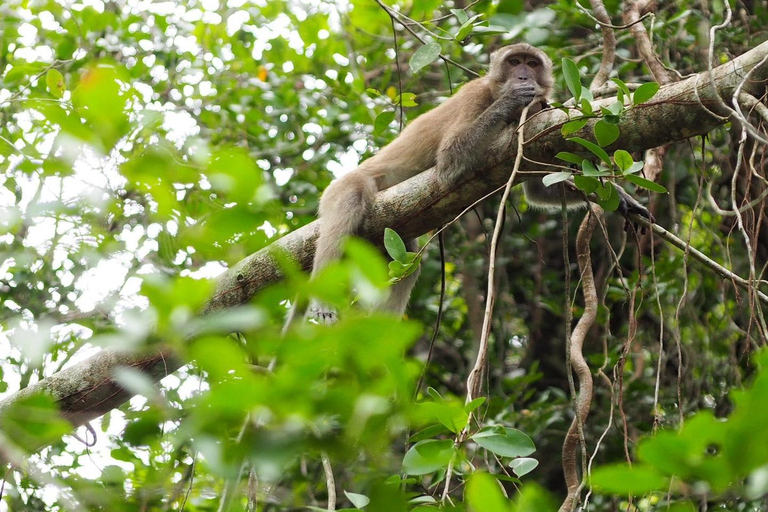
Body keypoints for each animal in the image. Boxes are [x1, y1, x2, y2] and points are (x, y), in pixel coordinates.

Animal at [300, 44, 648, 324]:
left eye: (532, 63)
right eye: (514, 62)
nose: (524, 76)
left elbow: (539, 188)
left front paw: (620, 198)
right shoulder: (476, 96)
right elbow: (450, 160)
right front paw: (509, 100)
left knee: (406, 260)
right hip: (342, 188)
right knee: (349, 202)